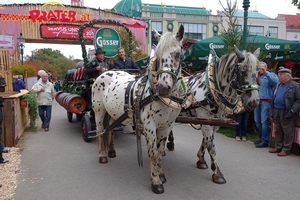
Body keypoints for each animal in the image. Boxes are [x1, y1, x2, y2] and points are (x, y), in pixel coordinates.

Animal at [91, 24, 191, 194]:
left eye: (178, 54)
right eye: (158, 55)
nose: (163, 88)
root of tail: (104, 73)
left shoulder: (167, 126)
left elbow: (160, 152)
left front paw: (161, 174)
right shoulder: (150, 125)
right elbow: (153, 153)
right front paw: (156, 182)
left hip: (113, 113)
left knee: (110, 129)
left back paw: (111, 151)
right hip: (99, 112)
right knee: (100, 131)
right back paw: (103, 155)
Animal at [168, 45, 262, 184]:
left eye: (258, 72)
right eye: (243, 71)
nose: (254, 102)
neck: (211, 91)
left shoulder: (215, 121)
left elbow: (206, 141)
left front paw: (201, 160)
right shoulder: (204, 118)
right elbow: (211, 145)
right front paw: (217, 173)